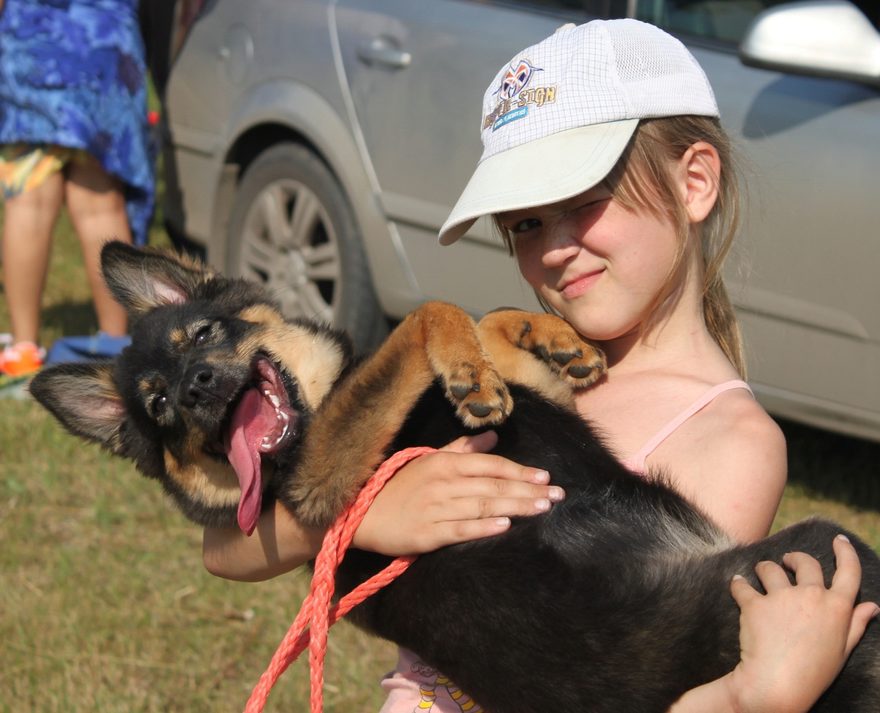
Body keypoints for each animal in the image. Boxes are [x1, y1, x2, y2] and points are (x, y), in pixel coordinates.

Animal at [31, 242, 880, 708]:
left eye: (204, 333)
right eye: (160, 406)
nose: (200, 390)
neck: (319, 400)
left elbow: (492, 320)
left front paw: (552, 339)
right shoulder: (321, 478)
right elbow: (428, 311)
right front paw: (469, 372)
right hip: (826, 547)